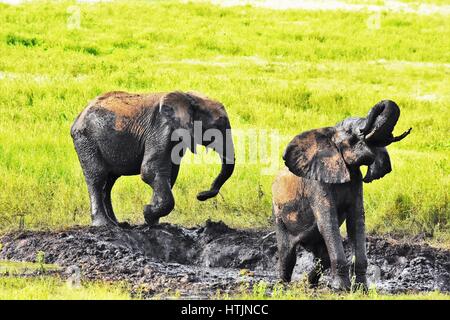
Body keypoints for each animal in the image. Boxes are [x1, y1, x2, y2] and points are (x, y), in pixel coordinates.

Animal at [70, 90, 236, 228]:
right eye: (218, 125)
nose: (200, 195)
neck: (188, 97)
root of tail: (78, 117)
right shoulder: (160, 129)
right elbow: (151, 171)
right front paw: (147, 213)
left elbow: (169, 174)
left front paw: (152, 221)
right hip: (86, 141)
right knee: (98, 177)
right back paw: (104, 225)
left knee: (109, 182)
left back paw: (118, 224)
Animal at [270, 100, 412, 290]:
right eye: (352, 138)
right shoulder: (316, 183)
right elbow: (328, 222)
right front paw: (341, 289)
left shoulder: (356, 181)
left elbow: (356, 222)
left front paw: (361, 289)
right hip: (279, 215)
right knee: (288, 253)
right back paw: (283, 286)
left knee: (323, 256)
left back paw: (310, 283)